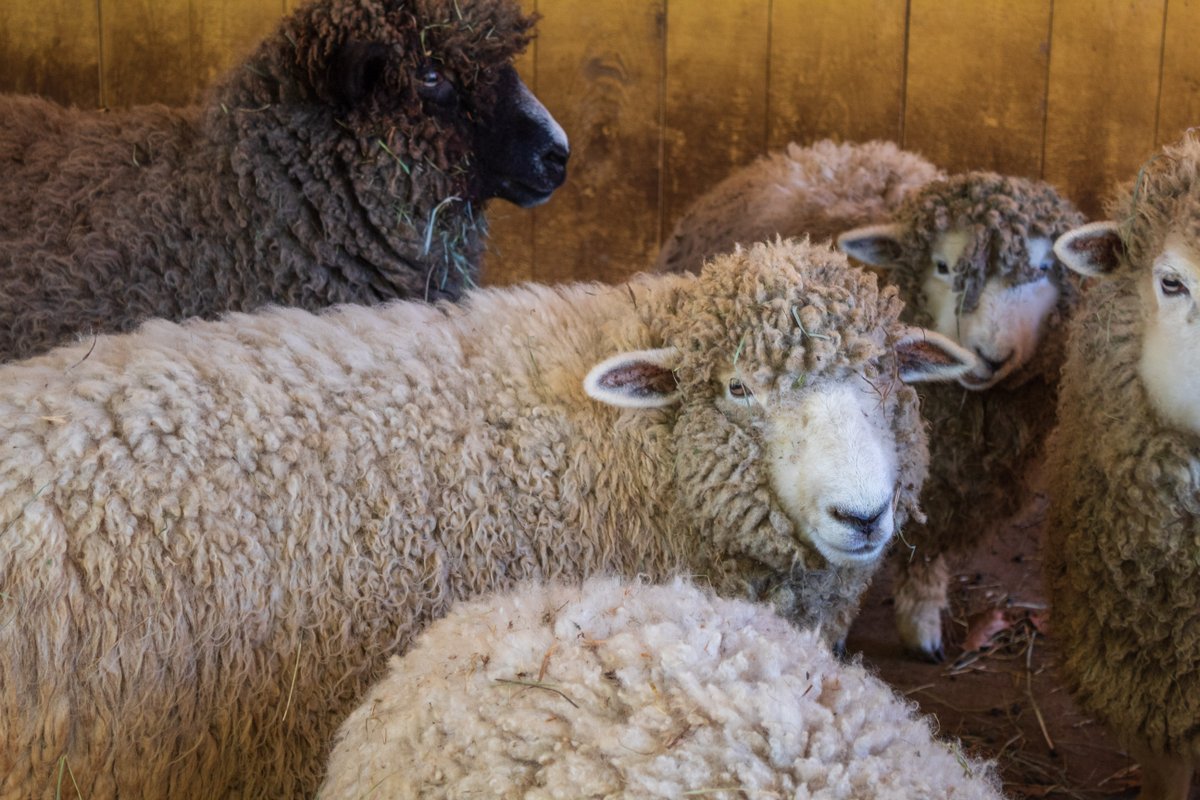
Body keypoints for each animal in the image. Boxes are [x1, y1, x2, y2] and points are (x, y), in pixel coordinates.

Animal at [836, 173, 1085, 661]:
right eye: (943, 267)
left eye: (1043, 270)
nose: (989, 357)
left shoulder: (939, 488)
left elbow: (926, 554)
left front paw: (921, 622)